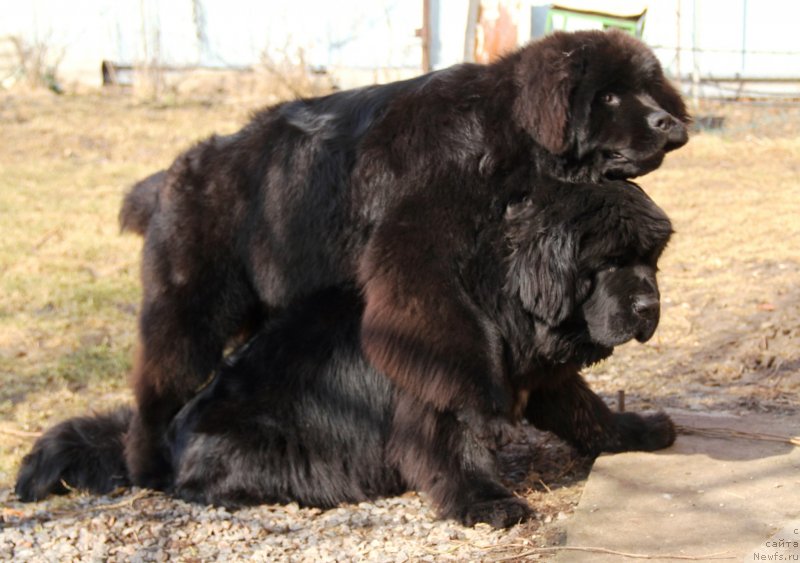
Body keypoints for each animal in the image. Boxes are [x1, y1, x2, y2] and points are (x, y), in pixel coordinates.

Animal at [15, 173, 676, 528]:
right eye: (608, 262)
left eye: (651, 258)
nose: (649, 306)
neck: (502, 295)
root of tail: (171, 434)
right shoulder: (436, 391)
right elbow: (450, 450)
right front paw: (486, 503)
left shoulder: (538, 376)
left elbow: (586, 412)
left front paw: (636, 430)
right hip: (268, 446)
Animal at [117, 28, 688, 486]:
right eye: (609, 96)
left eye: (650, 90)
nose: (668, 122)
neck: (503, 136)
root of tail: (170, 175)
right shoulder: (420, 250)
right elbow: (456, 338)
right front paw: (484, 414)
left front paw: (629, 426)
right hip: (189, 309)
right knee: (158, 387)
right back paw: (147, 469)